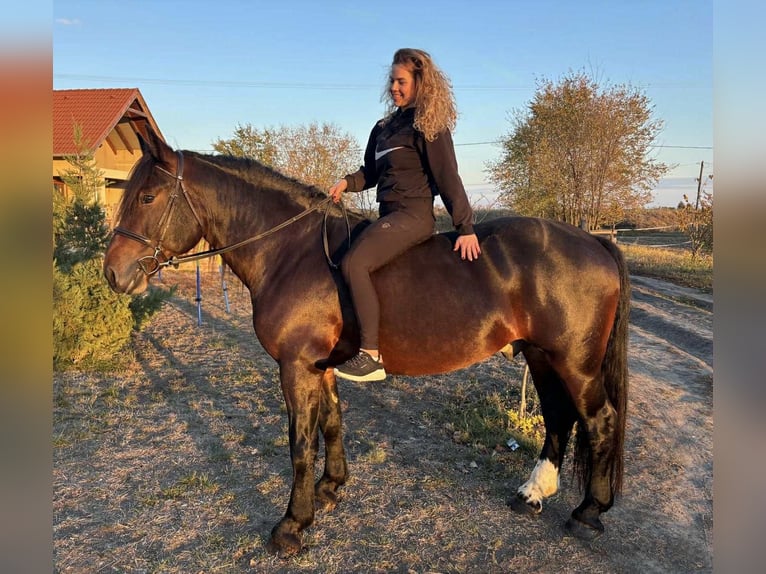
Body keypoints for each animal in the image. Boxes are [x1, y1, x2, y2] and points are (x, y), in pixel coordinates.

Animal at [103, 129, 630, 556]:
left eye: (147, 196)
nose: (113, 274)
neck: (291, 252)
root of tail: (592, 241)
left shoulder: (296, 366)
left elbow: (300, 444)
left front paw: (292, 526)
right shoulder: (321, 366)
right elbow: (332, 424)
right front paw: (331, 488)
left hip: (574, 363)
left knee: (599, 421)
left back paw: (588, 513)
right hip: (541, 357)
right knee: (559, 419)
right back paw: (532, 494)